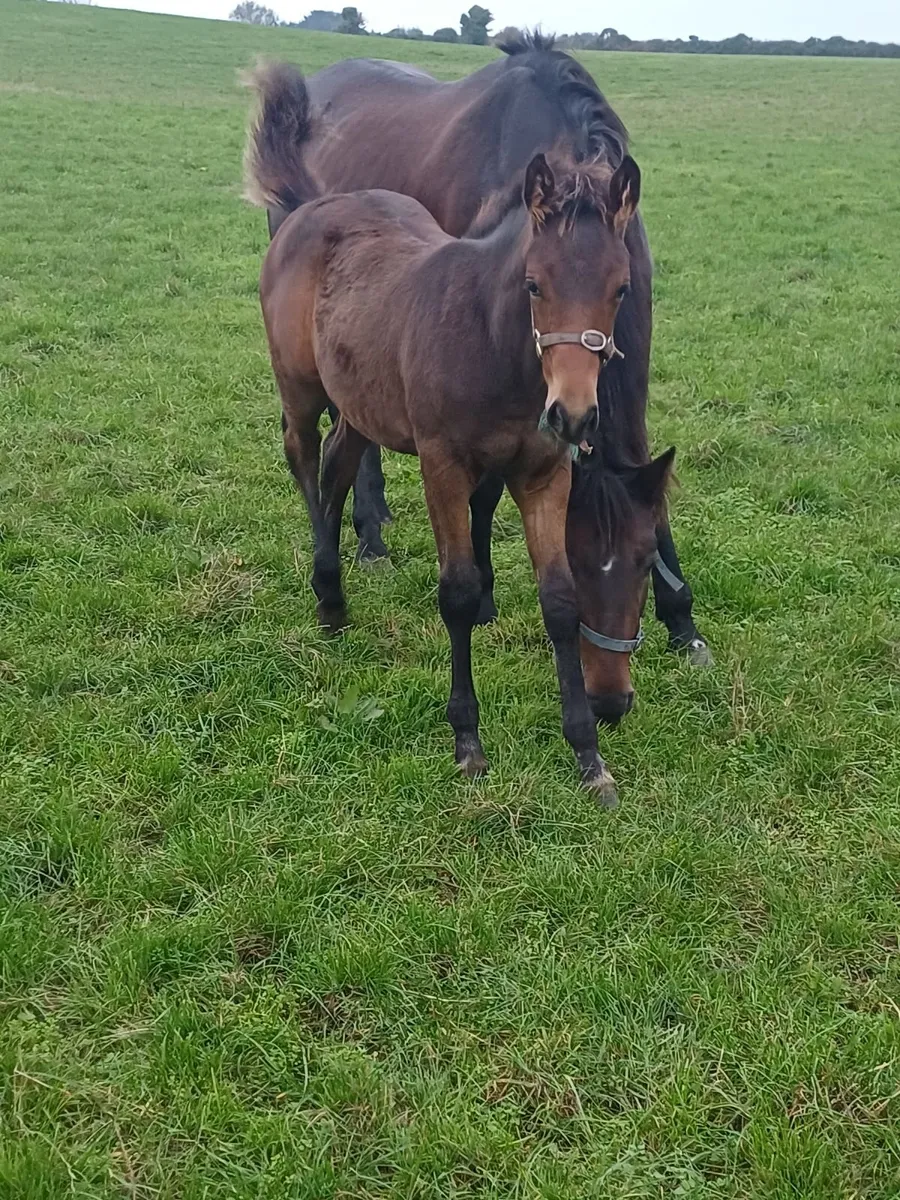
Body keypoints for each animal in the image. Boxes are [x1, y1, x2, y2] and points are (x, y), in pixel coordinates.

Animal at [245, 64, 675, 802]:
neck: (492, 344)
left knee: (337, 461)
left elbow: (558, 603)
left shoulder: (543, 473)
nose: (573, 413)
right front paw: (468, 741)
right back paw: (326, 583)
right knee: (302, 456)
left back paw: (337, 597)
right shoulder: (443, 465)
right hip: (300, 388)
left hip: (361, 402)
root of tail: (313, 205)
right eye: (534, 284)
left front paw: (588, 758)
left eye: (621, 289)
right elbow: (458, 591)